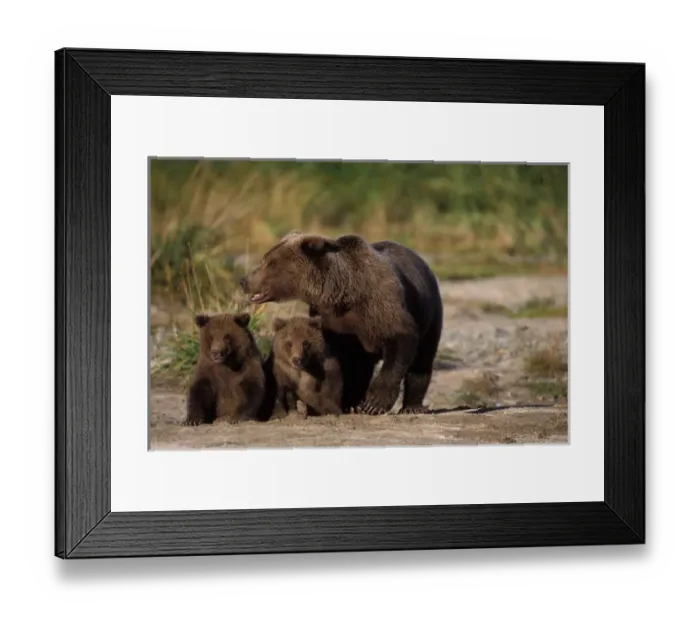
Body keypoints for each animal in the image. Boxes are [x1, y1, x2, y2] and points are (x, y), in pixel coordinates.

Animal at [239, 231, 443, 415]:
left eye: (272, 263)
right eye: (265, 259)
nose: (244, 281)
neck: (343, 294)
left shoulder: (380, 304)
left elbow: (400, 339)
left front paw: (374, 403)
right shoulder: (335, 322)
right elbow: (341, 361)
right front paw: (347, 401)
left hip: (429, 311)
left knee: (422, 359)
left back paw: (412, 406)